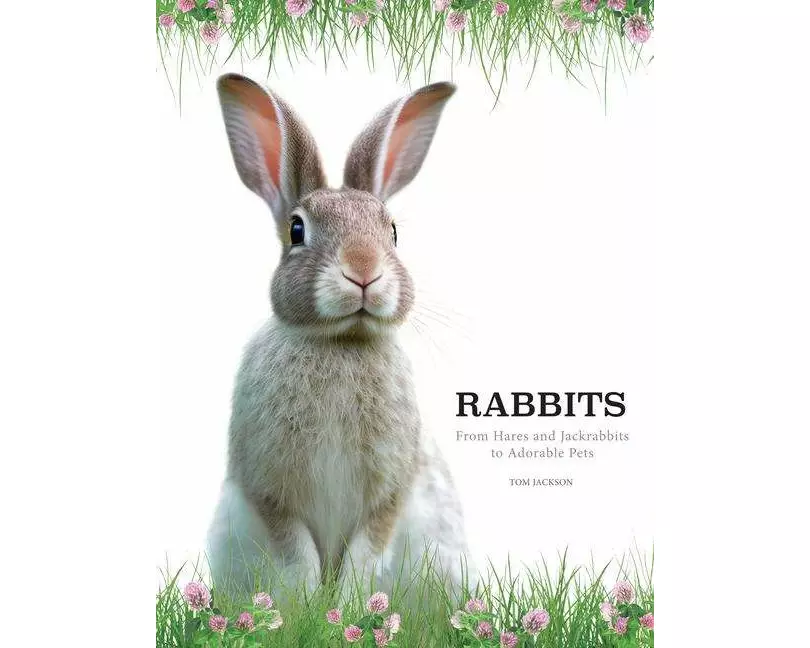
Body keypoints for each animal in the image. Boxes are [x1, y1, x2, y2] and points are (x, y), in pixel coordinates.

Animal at [206, 73, 475, 605]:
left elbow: (365, 554)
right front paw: (307, 608)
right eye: (296, 229)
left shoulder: (388, 493)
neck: (341, 341)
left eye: (392, 232)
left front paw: (349, 608)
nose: (364, 270)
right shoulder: (270, 491)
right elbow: (297, 556)